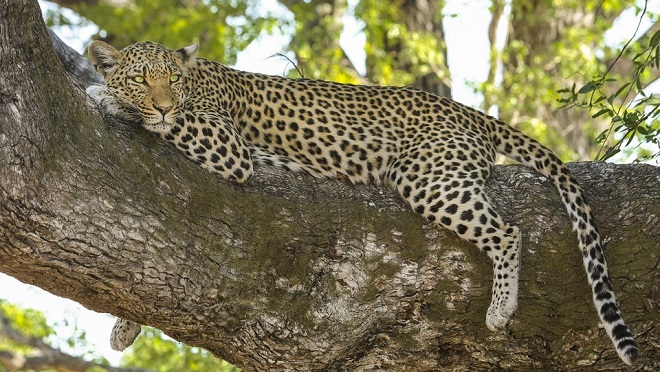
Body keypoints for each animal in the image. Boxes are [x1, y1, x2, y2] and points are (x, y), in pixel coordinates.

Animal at [85, 40, 636, 364]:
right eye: (142, 78)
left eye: (171, 80)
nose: (162, 102)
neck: (196, 80)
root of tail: (468, 112)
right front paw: (124, 326)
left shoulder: (227, 145)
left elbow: (174, 123)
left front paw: (104, 96)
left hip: (427, 177)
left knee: (508, 232)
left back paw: (501, 308)